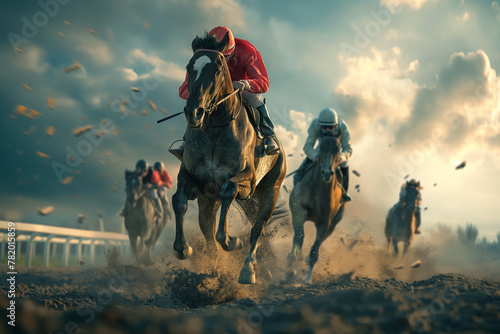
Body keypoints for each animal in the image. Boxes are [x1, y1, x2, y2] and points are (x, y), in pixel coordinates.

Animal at [170, 32, 286, 284]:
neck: (215, 129)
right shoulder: (193, 179)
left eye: (217, 69)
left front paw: (232, 241)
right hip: (213, 200)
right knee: (208, 229)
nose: (194, 112)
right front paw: (183, 248)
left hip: (269, 190)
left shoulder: (246, 180)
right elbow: (178, 200)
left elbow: (228, 191)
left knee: (258, 229)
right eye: (189, 67)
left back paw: (248, 270)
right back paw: (214, 269)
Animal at [288, 133, 346, 284]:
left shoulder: (325, 223)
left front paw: (308, 278)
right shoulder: (299, 211)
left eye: (338, 150)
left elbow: (315, 249)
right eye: (321, 148)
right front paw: (294, 257)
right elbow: (299, 236)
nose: (327, 173)